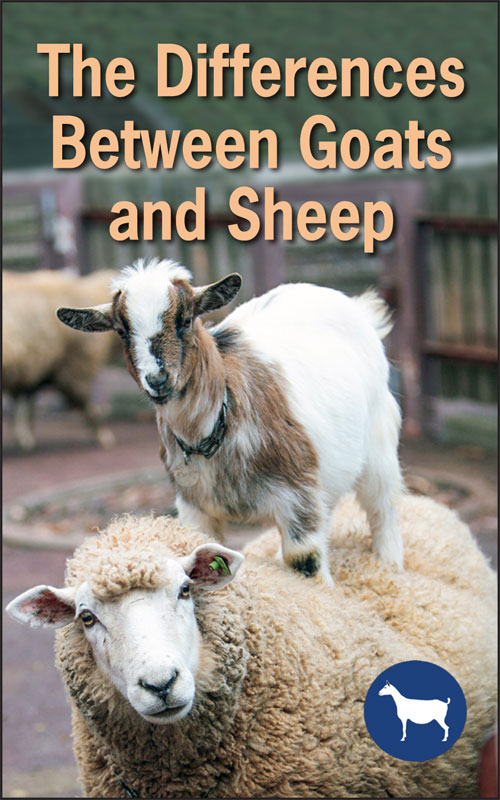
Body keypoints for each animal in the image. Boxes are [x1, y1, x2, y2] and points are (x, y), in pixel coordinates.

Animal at [3, 269, 116, 450]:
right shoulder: (70, 370)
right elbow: (87, 405)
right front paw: (102, 436)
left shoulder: (32, 369)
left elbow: (25, 405)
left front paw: (25, 438)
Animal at [56, 257, 403, 584]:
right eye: (121, 330)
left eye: (186, 319)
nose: (157, 379)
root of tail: (355, 307)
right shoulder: (195, 507)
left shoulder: (298, 499)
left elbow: (306, 563)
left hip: (379, 445)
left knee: (383, 509)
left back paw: (389, 565)